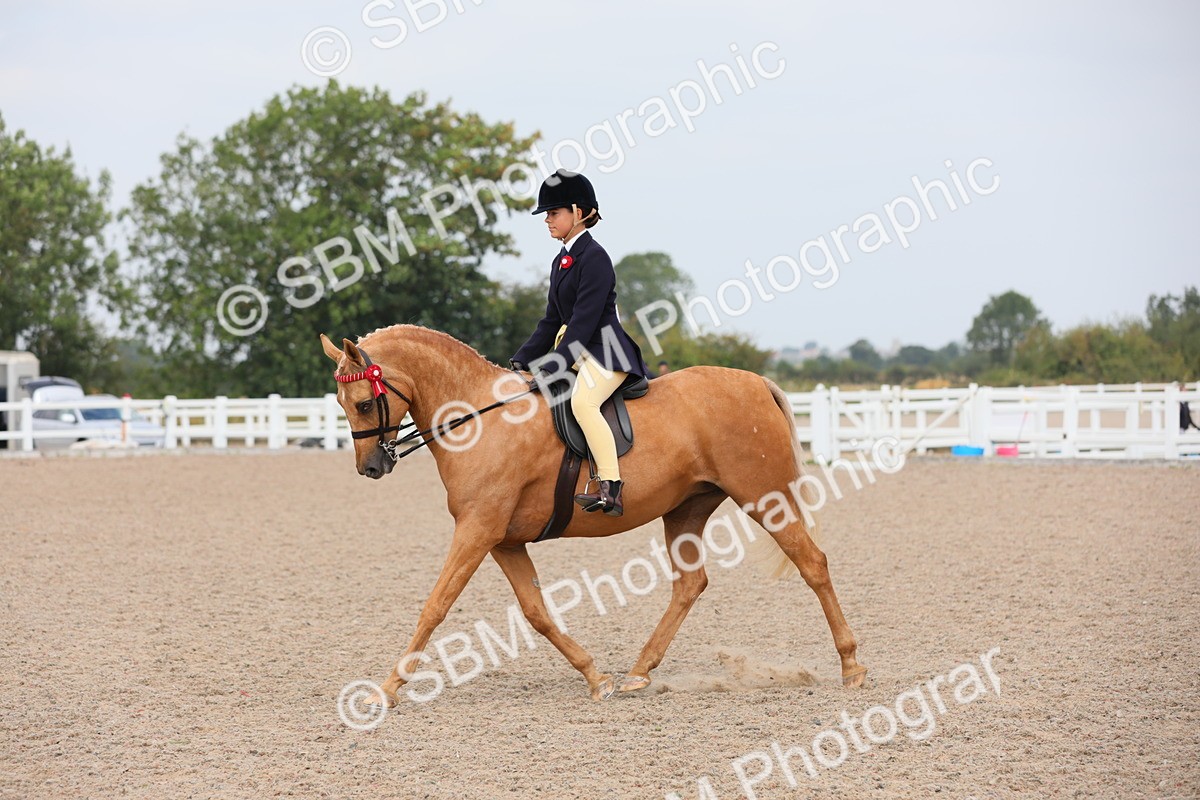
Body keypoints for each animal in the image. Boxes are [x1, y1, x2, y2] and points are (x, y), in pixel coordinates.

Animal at [319, 325, 867, 705]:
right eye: (341, 403)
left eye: (364, 403)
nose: (371, 467)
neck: (480, 418)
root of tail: (755, 383)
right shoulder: (504, 540)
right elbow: (537, 613)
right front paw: (595, 677)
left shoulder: (477, 531)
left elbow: (435, 607)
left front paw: (386, 690)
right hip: (686, 510)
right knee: (690, 584)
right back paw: (638, 672)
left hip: (762, 496)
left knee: (812, 564)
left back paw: (851, 667)